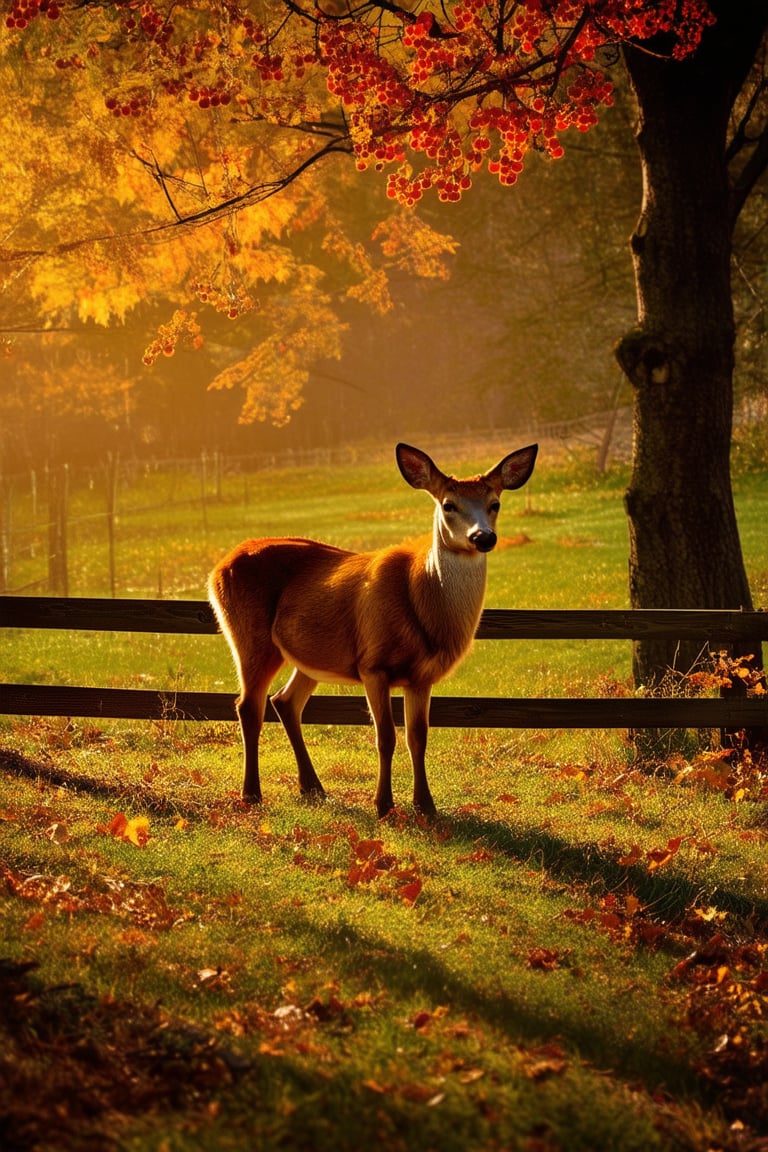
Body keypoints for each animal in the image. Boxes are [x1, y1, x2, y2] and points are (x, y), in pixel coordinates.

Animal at [207, 440, 538, 820]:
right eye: (448, 504)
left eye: (495, 503)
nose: (482, 536)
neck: (423, 603)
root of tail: (217, 568)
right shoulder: (373, 663)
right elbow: (386, 737)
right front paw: (383, 805)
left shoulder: (421, 677)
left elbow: (417, 737)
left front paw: (425, 805)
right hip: (250, 636)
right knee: (249, 705)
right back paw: (252, 794)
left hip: (310, 656)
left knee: (285, 702)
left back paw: (313, 787)